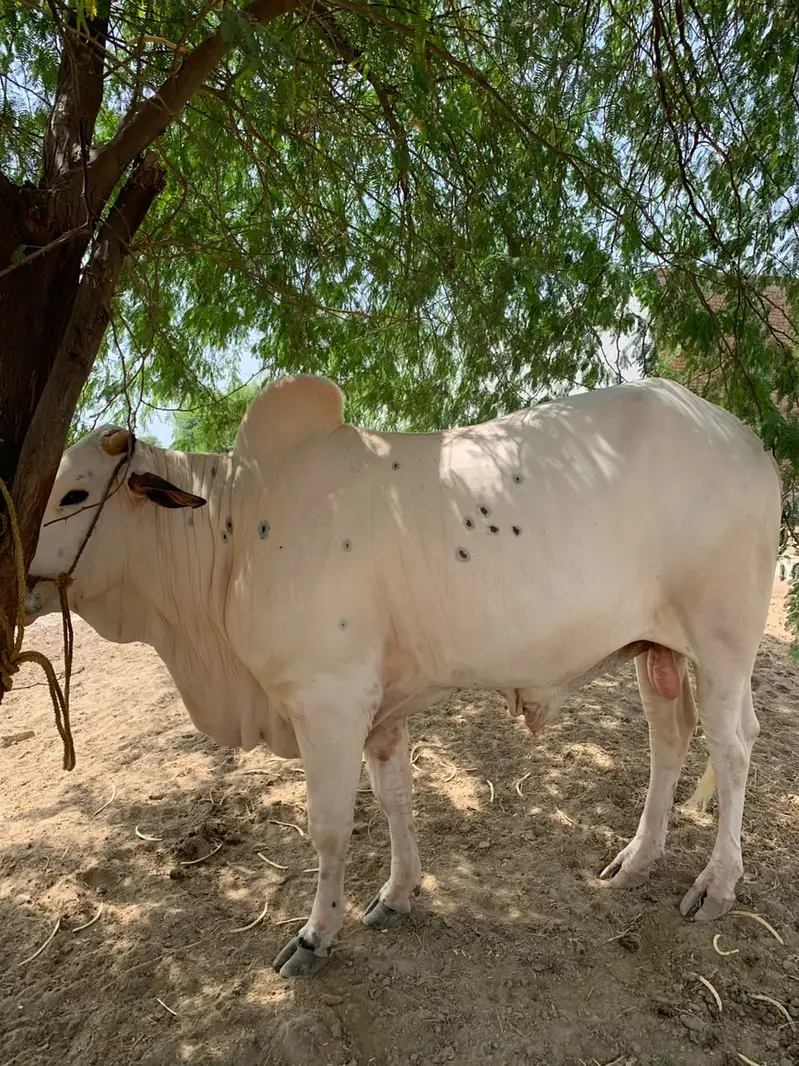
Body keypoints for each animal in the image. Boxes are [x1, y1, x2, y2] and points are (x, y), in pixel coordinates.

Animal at [25, 374, 782, 978]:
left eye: (76, 491)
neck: (231, 533)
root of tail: (744, 439)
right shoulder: (381, 710)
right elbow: (395, 798)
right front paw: (396, 895)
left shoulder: (328, 702)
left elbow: (330, 827)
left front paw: (315, 936)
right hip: (657, 648)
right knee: (669, 735)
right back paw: (637, 857)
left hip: (722, 640)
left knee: (733, 745)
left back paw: (716, 885)